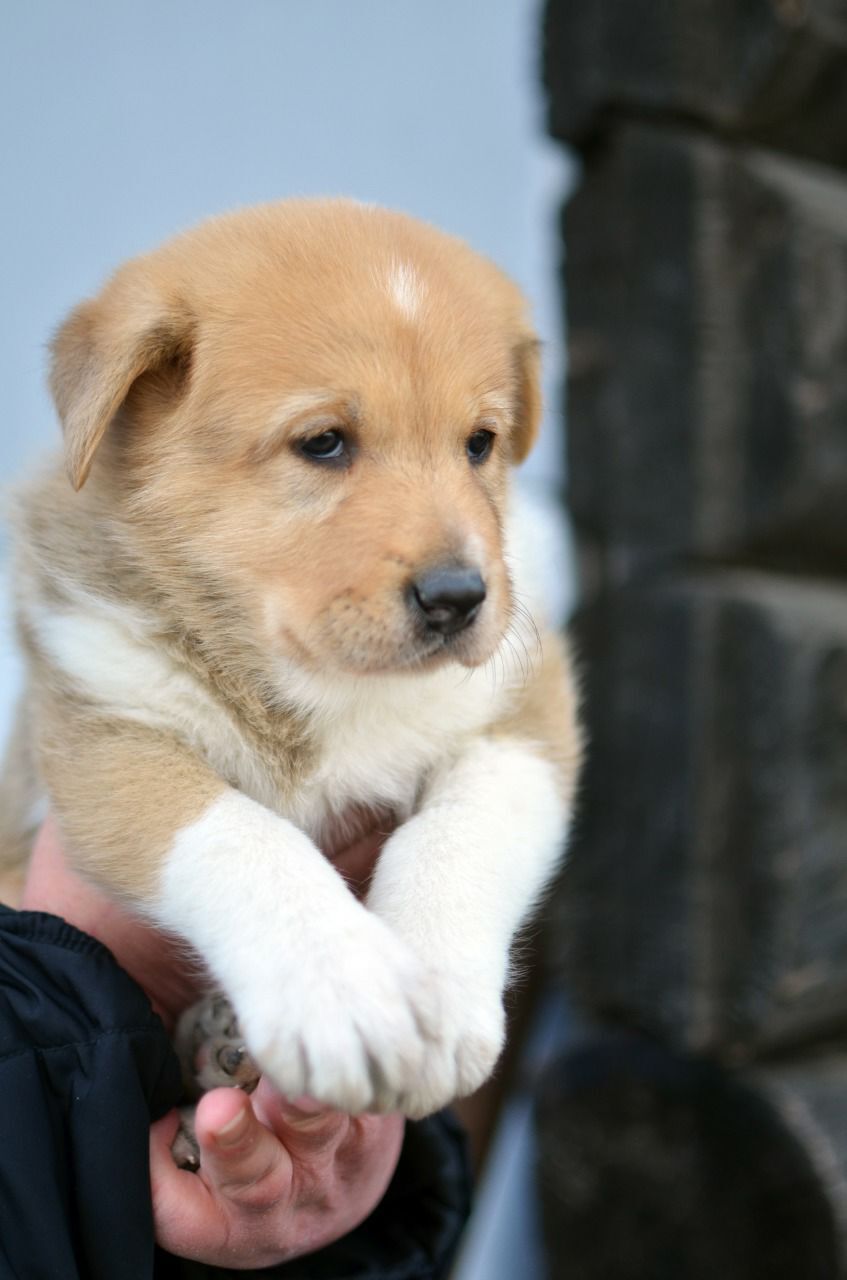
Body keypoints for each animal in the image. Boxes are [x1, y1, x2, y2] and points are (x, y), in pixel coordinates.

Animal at [0, 202, 583, 1121]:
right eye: (323, 443)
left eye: (479, 444)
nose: (458, 598)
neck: (320, 684)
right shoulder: (104, 731)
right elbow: (240, 836)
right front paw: (342, 994)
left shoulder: (525, 716)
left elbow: (461, 831)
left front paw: (440, 997)